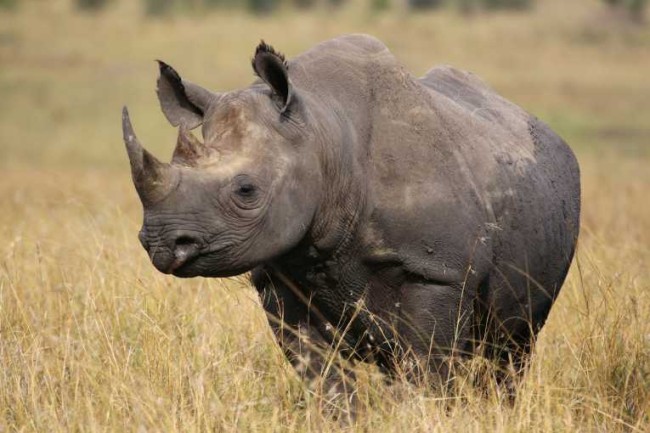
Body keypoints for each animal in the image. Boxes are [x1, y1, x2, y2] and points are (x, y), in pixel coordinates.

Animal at [122, 35, 580, 396]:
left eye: (246, 191)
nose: (162, 243)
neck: (322, 135)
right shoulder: (280, 277)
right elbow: (325, 379)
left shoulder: (438, 271)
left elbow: (426, 368)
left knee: (510, 348)